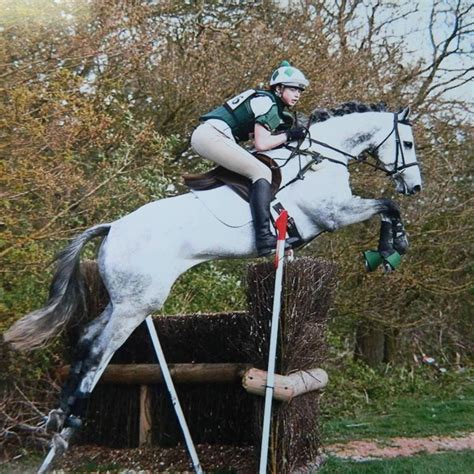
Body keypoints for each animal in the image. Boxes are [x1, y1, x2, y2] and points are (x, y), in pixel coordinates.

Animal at [3, 103, 422, 434]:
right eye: (409, 144)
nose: (415, 187)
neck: (320, 158)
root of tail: (114, 227)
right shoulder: (333, 214)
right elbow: (386, 205)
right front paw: (392, 246)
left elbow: (386, 207)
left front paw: (391, 247)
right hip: (137, 305)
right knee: (99, 350)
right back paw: (74, 415)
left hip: (124, 298)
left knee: (87, 338)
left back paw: (63, 413)